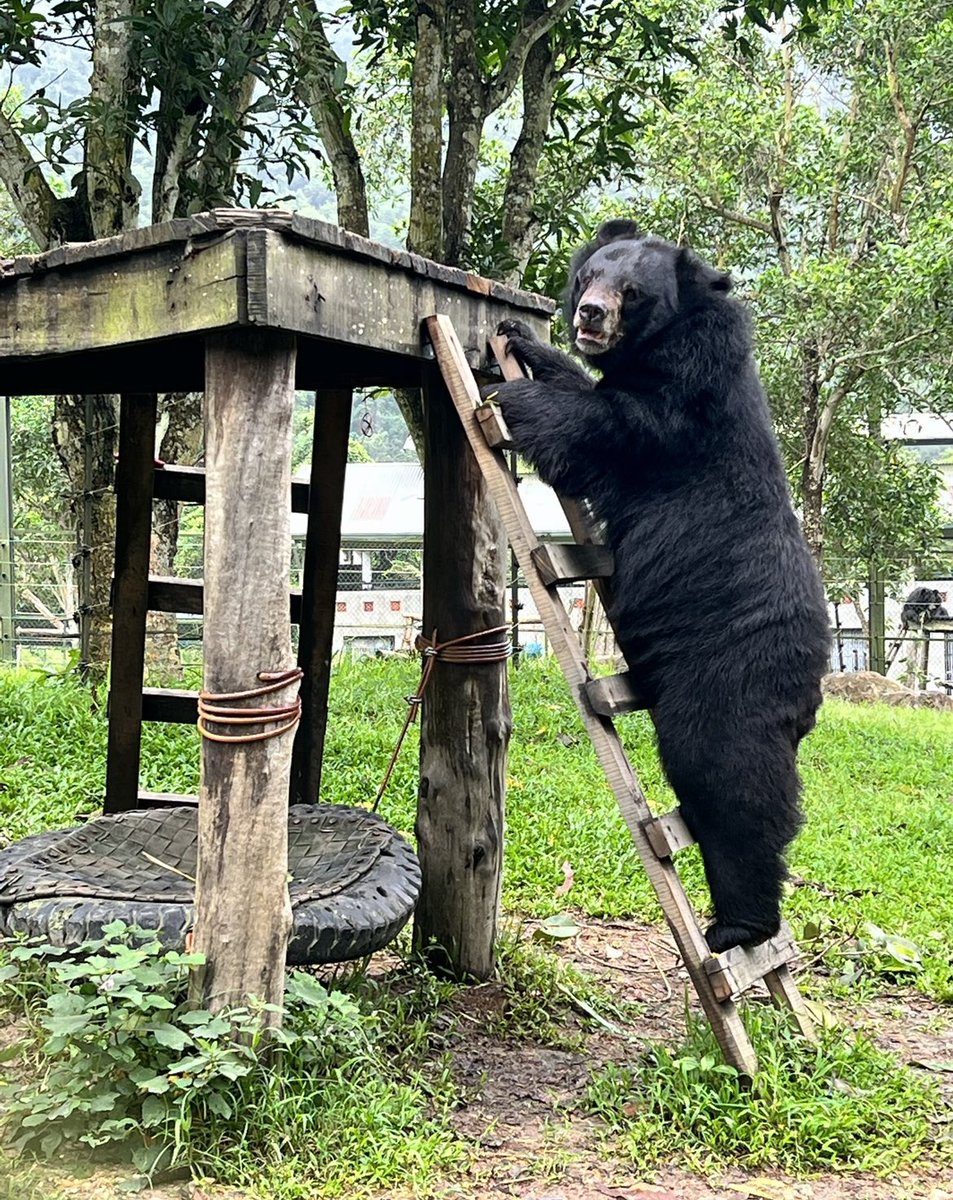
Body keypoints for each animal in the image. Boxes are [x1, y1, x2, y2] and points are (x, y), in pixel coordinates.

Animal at [487, 219, 831, 954]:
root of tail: (812, 685)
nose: (589, 315)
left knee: (729, 784)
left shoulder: (685, 402)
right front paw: (521, 338)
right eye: (590, 275)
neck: (662, 346)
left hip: (726, 678)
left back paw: (737, 925)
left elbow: (610, 425)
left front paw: (514, 397)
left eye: (631, 292)